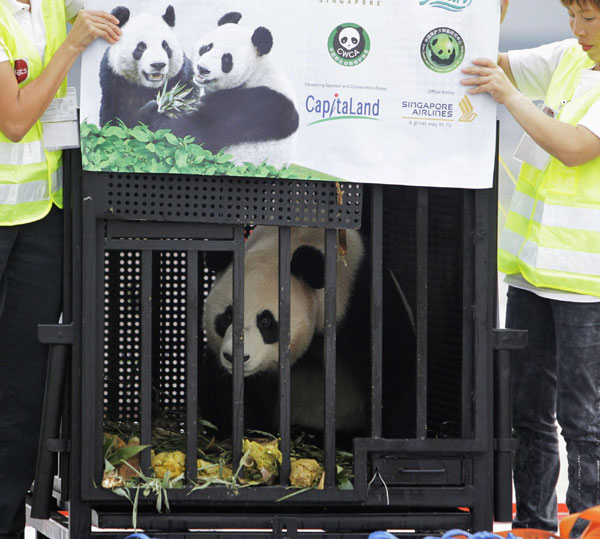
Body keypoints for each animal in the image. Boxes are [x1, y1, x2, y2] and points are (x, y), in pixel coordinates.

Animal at [98, 4, 300, 168]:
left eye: (227, 59)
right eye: (207, 47)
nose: (203, 69)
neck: (257, 73)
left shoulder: (256, 105)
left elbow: (196, 135)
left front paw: (153, 111)